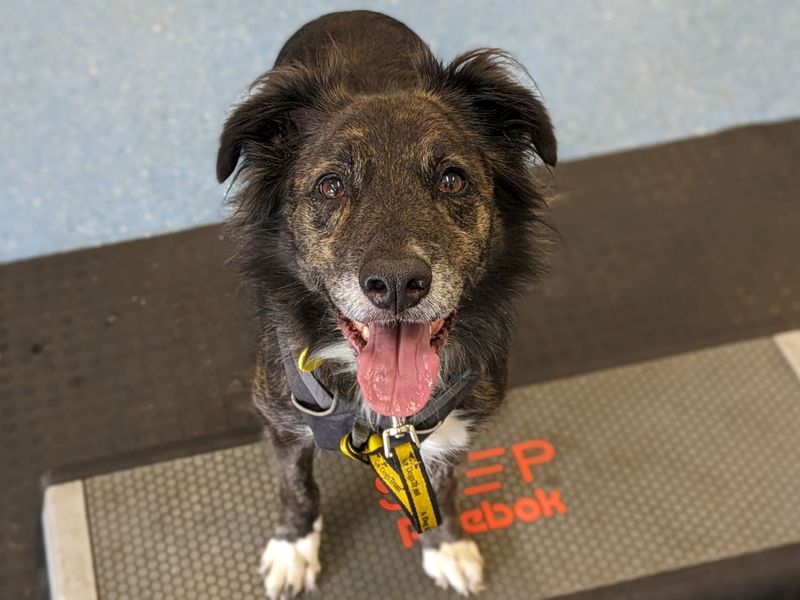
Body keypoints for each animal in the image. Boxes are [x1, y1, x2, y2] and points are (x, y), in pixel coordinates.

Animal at [217, 10, 556, 600]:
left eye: (452, 179)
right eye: (331, 186)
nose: (397, 284)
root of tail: (349, 12)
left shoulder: (452, 432)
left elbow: (443, 491)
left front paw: (446, 545)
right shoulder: (281, 418)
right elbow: (297, 489)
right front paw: (294, 547)